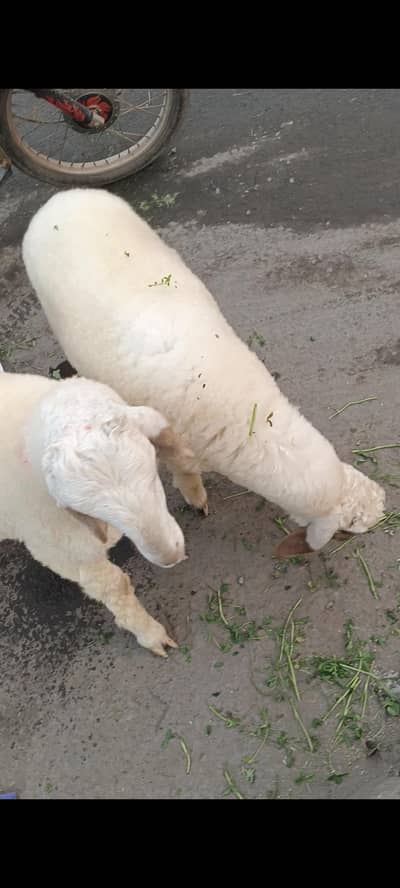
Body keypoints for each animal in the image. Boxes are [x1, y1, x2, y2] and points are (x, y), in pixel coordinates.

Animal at [0, 371, 207, 656]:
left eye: (154, 477)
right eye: (88, 510)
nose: (170, 558)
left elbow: (181, 456)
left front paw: (195, 493)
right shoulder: (66, 554)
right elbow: (115, 588)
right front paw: (151, 635)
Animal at [22, 188, 386, 556]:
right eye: (348, 528)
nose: (384, 506)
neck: (247, 419)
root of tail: (61, 198)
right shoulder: (174, 445)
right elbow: (185, 474)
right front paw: (196, 500)